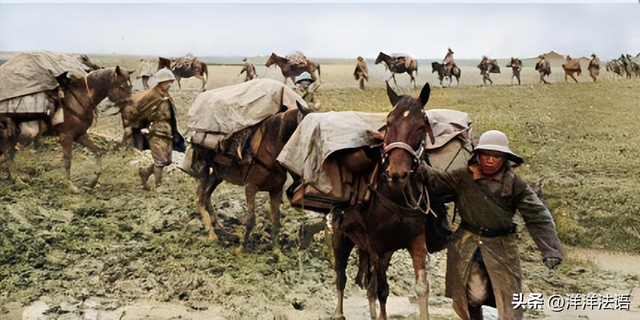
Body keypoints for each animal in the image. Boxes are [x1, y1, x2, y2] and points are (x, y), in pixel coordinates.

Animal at [0, 67, 132, 192]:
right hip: (12, 136)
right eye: (122, 86)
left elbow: (97, 153)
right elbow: (68, 160)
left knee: (7, 155)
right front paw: (71, 186)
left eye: (130, 86)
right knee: (8, 154)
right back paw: (19, 182)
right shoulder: (66, 136)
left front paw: (92, 183)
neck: (80, 98)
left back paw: (17, 178)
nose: (130, 107)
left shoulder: (80, 135)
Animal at [189, 101, 312, 249]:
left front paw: (277, 251)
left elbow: (276, 220)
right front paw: (241, 248)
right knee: (199, 199)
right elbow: (251, 218)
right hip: (203, 171)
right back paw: (212, 234)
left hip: (219, 174)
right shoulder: (250, 187)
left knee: (207, 195)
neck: (270, 149)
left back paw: (219, 227)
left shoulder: (276, 190)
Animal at [330, 82, 444, 320]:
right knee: (341, 275)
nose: (397, 173)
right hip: (340, 237)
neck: (395, 194)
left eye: (421, 126)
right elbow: (381, 289)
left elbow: (421, 287)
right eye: (389, 122)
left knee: (370, 287)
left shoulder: (415, 241)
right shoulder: (377, 247)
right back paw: (338, 312)